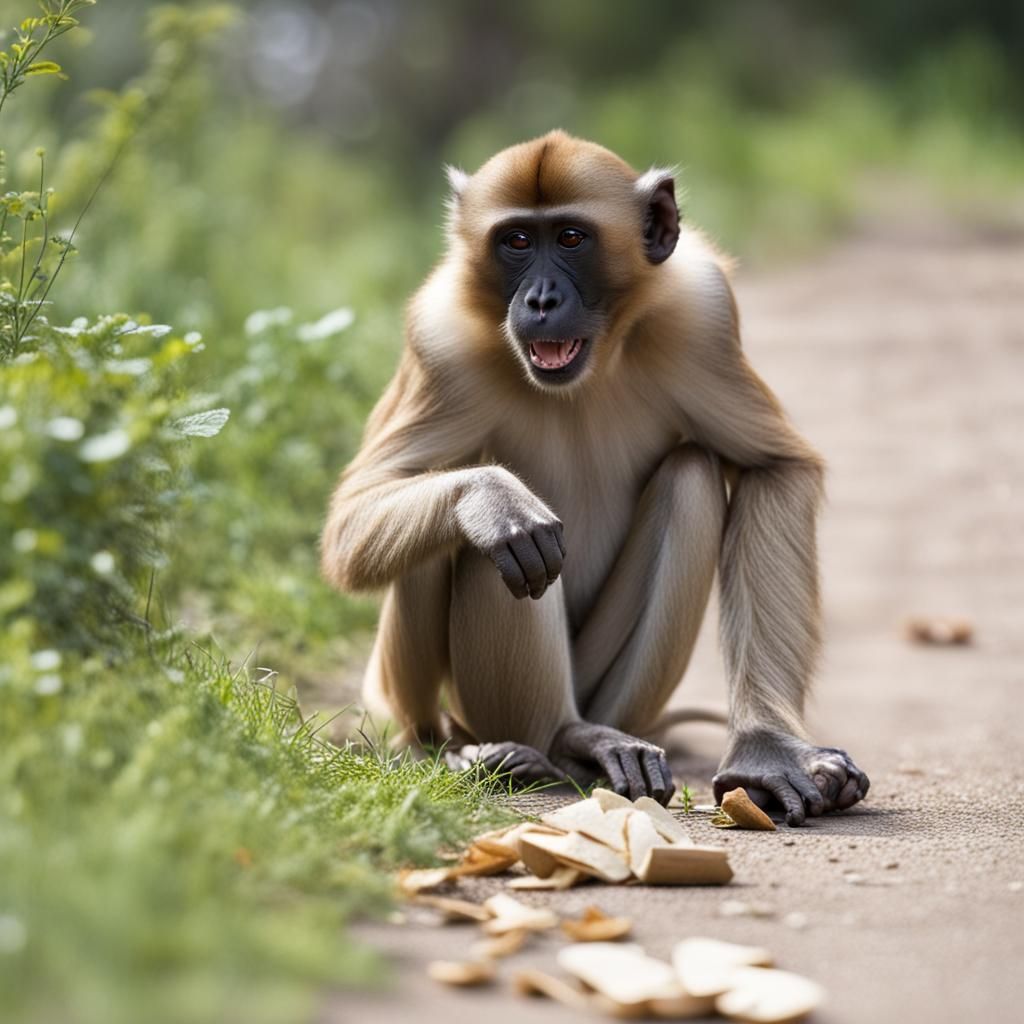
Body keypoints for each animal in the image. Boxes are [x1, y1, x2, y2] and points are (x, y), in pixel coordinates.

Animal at [320, 130, 869, 824]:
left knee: (689, 477)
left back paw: (579, 745)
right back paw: (519, 741)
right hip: (466, 705)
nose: (541, 301)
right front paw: (494, 500)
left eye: (571, 238)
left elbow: (775, 467)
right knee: (482, 540)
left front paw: (767, 748)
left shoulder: (703, 315)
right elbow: (352, 526)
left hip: (618, 696)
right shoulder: (439, 338)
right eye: (517, 241)